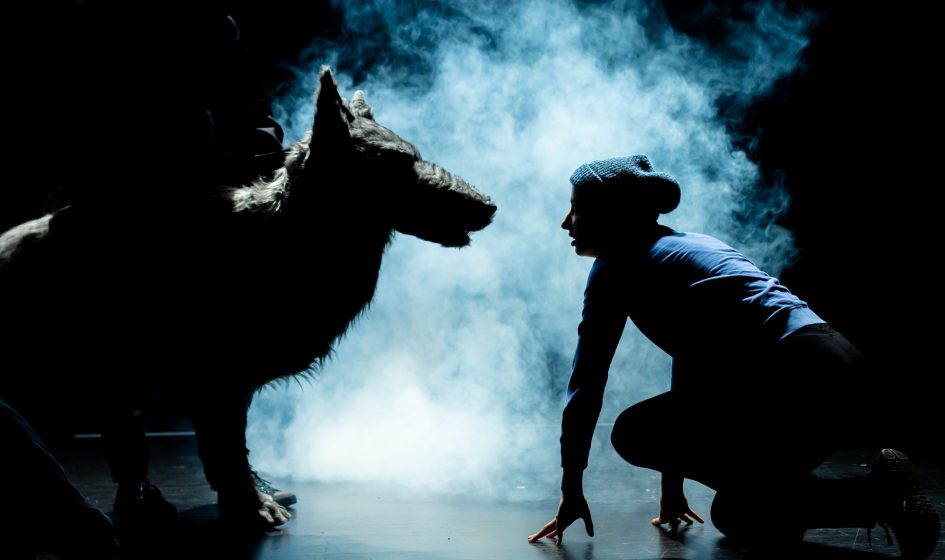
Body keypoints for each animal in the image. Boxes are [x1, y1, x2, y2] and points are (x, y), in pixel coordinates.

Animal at [0, 66, 496, 529]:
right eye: (397, 165)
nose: (490, 206)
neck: (294, 233)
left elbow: (233, 446)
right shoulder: (216, 378)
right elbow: (225, 449)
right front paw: (248, 506)